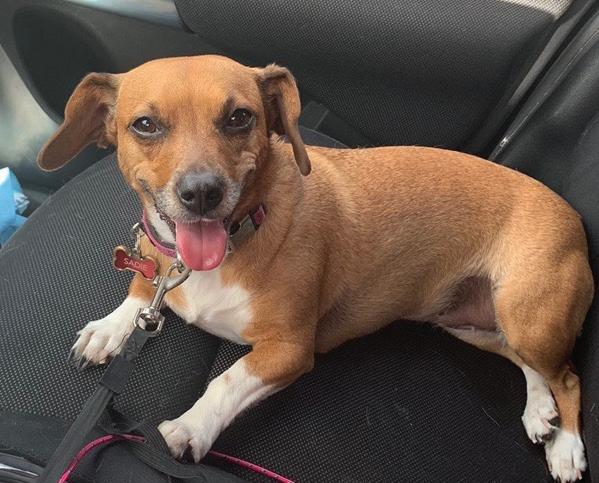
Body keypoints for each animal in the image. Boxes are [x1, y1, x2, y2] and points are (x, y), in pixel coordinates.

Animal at [37, 55, 594, 482]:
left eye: (240, 117)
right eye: (145, 125)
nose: (201, 193)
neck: (235, 241)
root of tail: (570, 212)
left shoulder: (288, 350)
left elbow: (226, 381)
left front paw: (191, 427)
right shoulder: (160, 271)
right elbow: (142, 289)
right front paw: (112, 328)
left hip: (527, 314)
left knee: (567, 375)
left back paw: (565, 444)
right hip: (470, 323)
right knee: (527, 361)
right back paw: (538, 410)